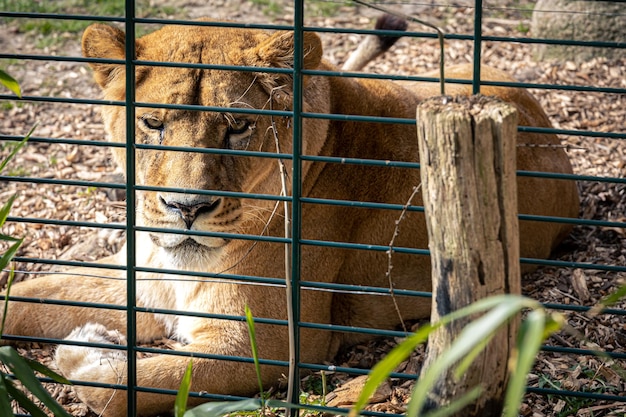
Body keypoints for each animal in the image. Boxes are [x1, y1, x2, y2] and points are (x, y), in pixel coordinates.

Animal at [1, 19, 576, 416]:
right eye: (153, 123)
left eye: (238, 126)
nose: (186, 209)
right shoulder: (140, 282)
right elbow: (28, 295)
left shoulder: (268, 345)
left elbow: (124, 388)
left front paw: (89, 353)